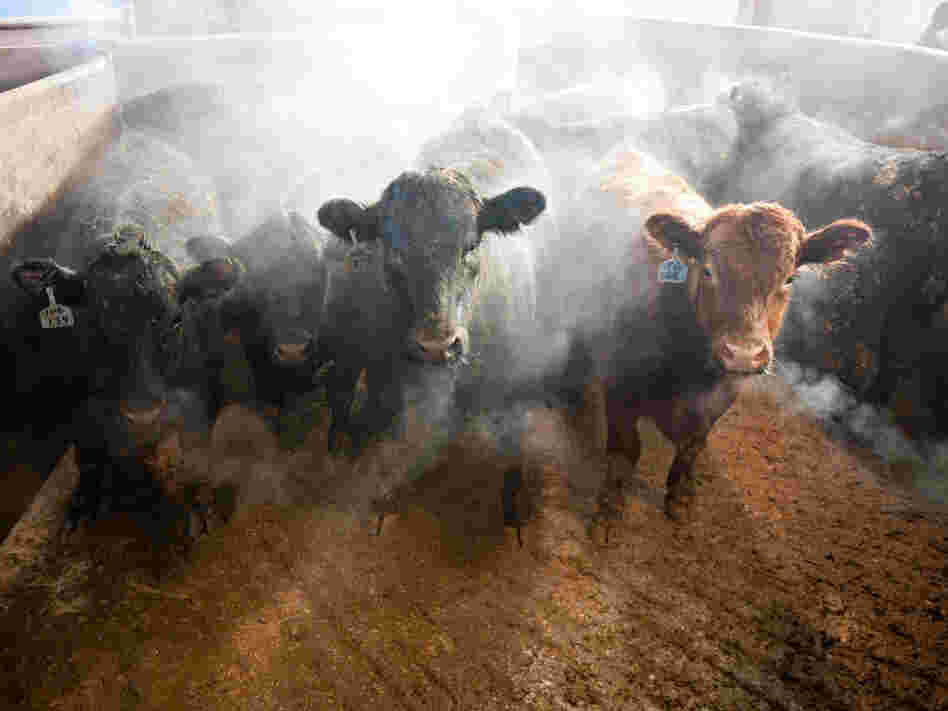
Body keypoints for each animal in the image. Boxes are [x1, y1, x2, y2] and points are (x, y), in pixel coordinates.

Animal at [554, 145, 871, 525]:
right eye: (707, 270)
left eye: (789, 278)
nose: (744, 353)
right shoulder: (619, 380)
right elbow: (625, 449)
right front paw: (610, 507)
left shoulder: (722, 394)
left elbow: (692, 445)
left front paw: (680, 498)